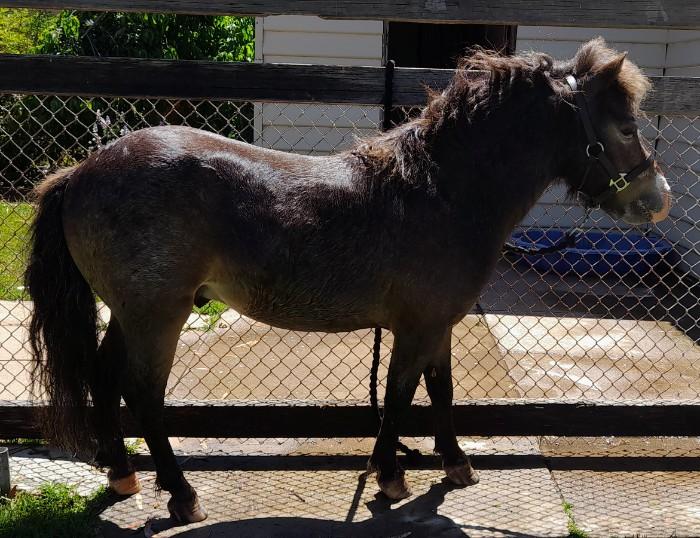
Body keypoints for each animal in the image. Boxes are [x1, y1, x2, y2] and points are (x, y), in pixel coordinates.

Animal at [25, 38, 670, 523]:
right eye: (622, 126)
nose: (656, 199)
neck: (442, 192)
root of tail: (82, 171)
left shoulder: (438, 325)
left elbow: (441, 390)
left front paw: (455, 463)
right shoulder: (415, 328)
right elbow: (400, 394)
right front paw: (390, 478)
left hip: (130, 311)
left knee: (104, 377)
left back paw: (123, 475)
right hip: (159, 314)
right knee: (143, 394)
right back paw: (181, 496)